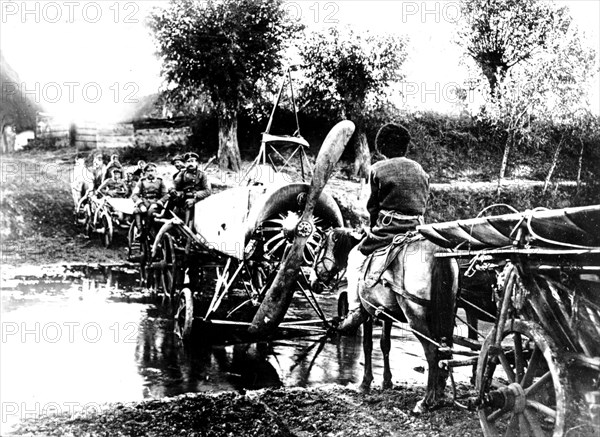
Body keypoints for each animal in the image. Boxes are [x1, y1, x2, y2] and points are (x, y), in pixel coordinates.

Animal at [310, 227, 460, 414]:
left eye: (317, 250)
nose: (312, 282)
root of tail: (438, 249)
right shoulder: (386, 314)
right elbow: (385, 344)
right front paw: (387, 382)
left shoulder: (367, 312)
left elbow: (367, 345)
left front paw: (365, 383)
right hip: (446, 314)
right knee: (445, 351)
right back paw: (439, 395)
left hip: (416, 317)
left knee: (432, 351)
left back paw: (425, 401)